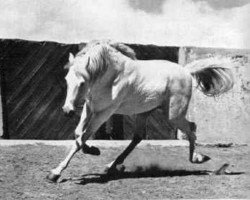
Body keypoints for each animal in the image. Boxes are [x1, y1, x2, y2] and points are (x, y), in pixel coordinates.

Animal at [46, 39, 235, 182]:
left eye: (82, 83)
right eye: (67, 79)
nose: (67, 110)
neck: (110, 77)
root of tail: (185, 71)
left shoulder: (104, 112)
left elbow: (83, 137)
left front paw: (56, 173)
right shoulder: (90, 107)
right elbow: (78, 134)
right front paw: (91, 151)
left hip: (173, 115)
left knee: (192, 128)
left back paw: (198, 158)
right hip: (144, 112)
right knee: (138, 137)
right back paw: (113, 166)